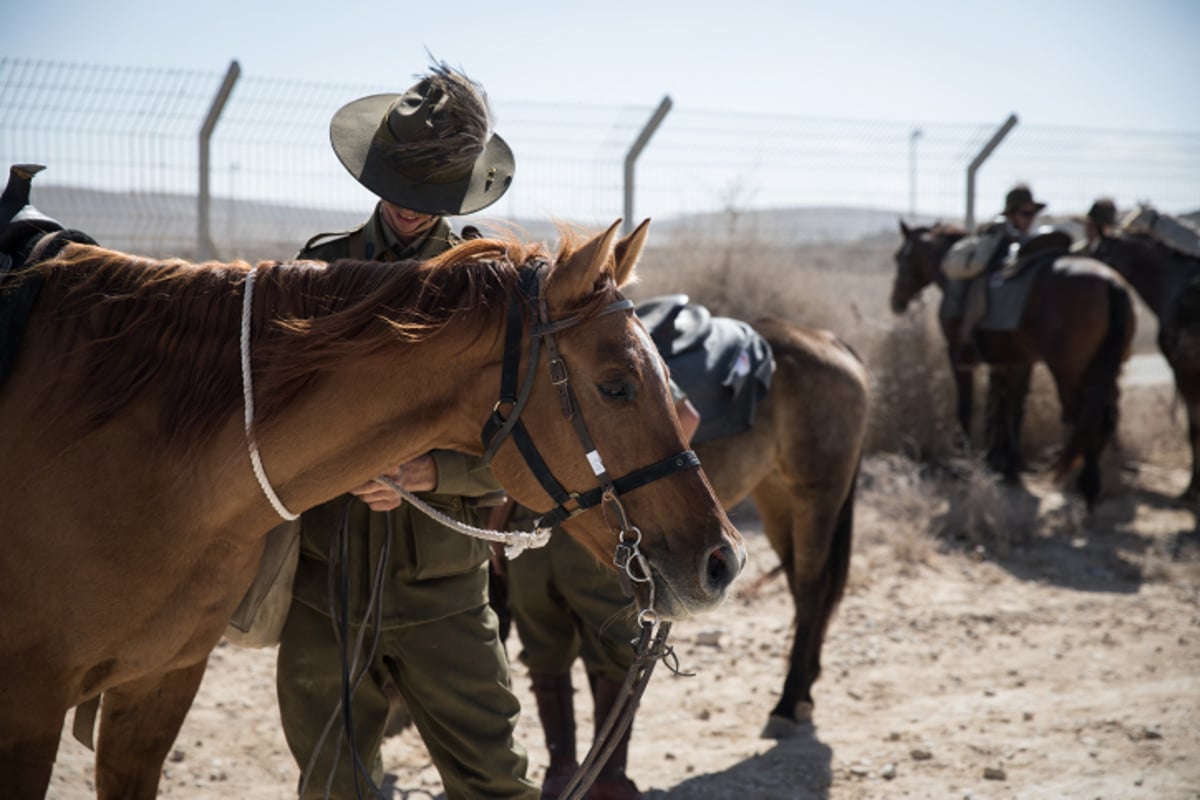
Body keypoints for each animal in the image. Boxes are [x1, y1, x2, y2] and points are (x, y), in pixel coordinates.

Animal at [892, 219, 1132, 506]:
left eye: (899, 258)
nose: (895, 301)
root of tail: (1111, 284)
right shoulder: (1014, 360)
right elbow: (1007, 408)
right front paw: (1006, 465)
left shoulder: (958, 356)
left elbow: (968, 406)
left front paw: (964, 460)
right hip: (1103, 371)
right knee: (1103, 418)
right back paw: (1090, 485)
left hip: (1069, 373)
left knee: (1082, 419)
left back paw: (1084, 484)